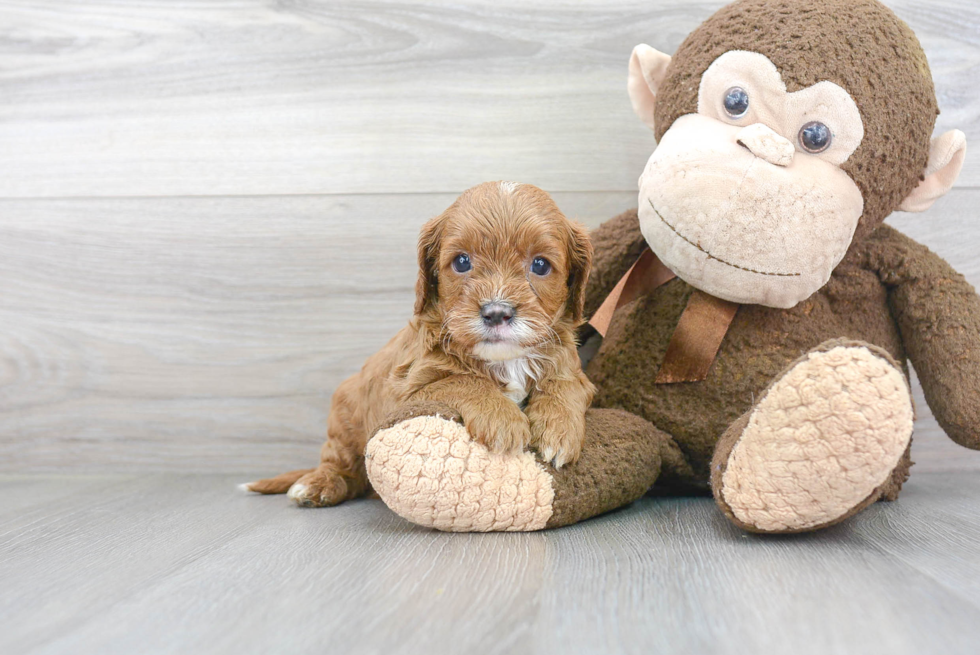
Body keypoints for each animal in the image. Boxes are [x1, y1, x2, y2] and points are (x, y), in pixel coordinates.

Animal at [245, 182, 596, 510]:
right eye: (462, 262)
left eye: (540, 265)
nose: (497, 312)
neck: (506, 359)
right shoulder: (408, 390)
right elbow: (463, 381)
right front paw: (503, 420)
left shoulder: (571, 368)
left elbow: (564, 385)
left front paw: (559, 429)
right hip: (344, 418)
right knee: (341, 465)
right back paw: (317, 484)